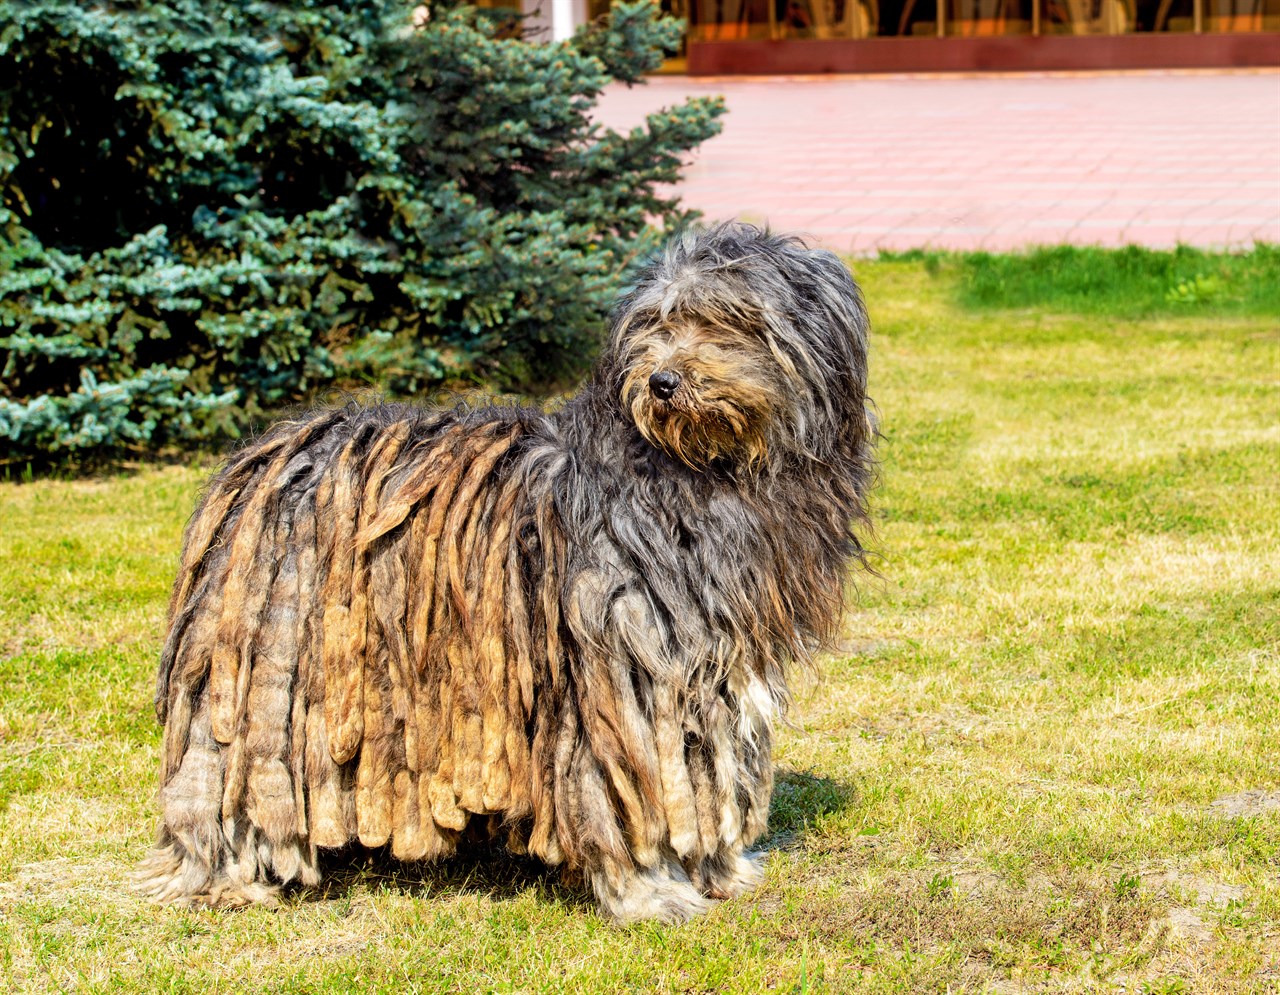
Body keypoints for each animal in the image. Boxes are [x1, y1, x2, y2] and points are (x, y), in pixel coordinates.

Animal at [142, 221, 880, 922]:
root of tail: (264, 456)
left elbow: (709, 768)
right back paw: (226, 874)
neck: (699, 472)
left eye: (729, 318)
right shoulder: (618, 664)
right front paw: (649, 891)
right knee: (222, 775)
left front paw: (721, 869)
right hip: (263, 674)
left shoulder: (714, 664)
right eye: (656, 323)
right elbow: (626, 789)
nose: (663, 382)